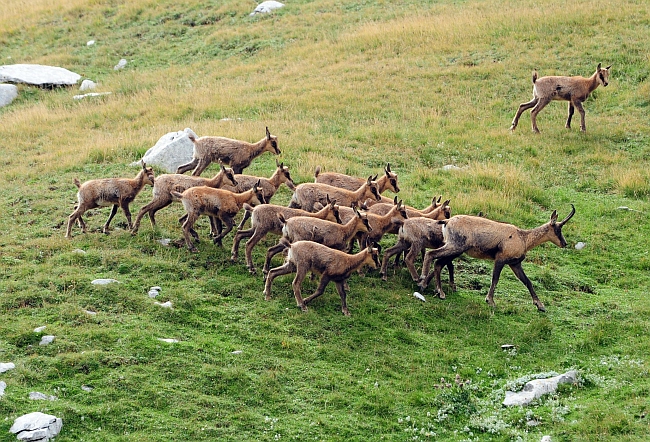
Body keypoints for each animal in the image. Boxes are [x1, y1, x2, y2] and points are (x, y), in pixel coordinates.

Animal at [418, 206, 576, 312]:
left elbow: (528, 282)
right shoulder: (500, 259)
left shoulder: (515, 264)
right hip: (455, 247)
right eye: (558, 228)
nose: (564, 243)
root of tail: (447, 221)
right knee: (432, 255)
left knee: (438, 263)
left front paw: (540, 305)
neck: (523, 237)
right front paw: (490, 301)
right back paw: (423, 282)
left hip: (455, 249)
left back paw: (439, 291)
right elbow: (495, 278)